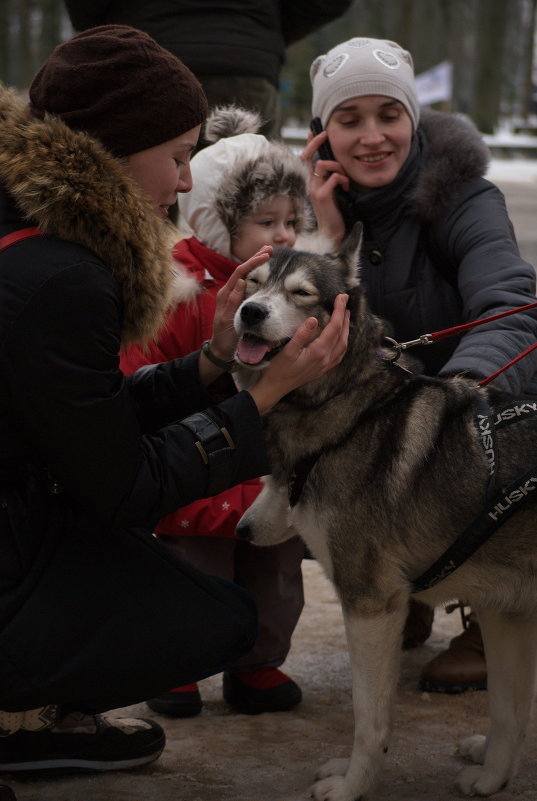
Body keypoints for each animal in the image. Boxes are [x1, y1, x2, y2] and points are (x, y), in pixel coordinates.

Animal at [236, 222, 537, 796]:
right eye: (253, 283)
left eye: (301, 293)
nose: (249, 312)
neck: (352, 406)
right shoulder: (503, 609)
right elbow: (507, 710)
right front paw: (493, 773)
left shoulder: (371, 604)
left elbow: (369, 718)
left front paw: (353, 785)